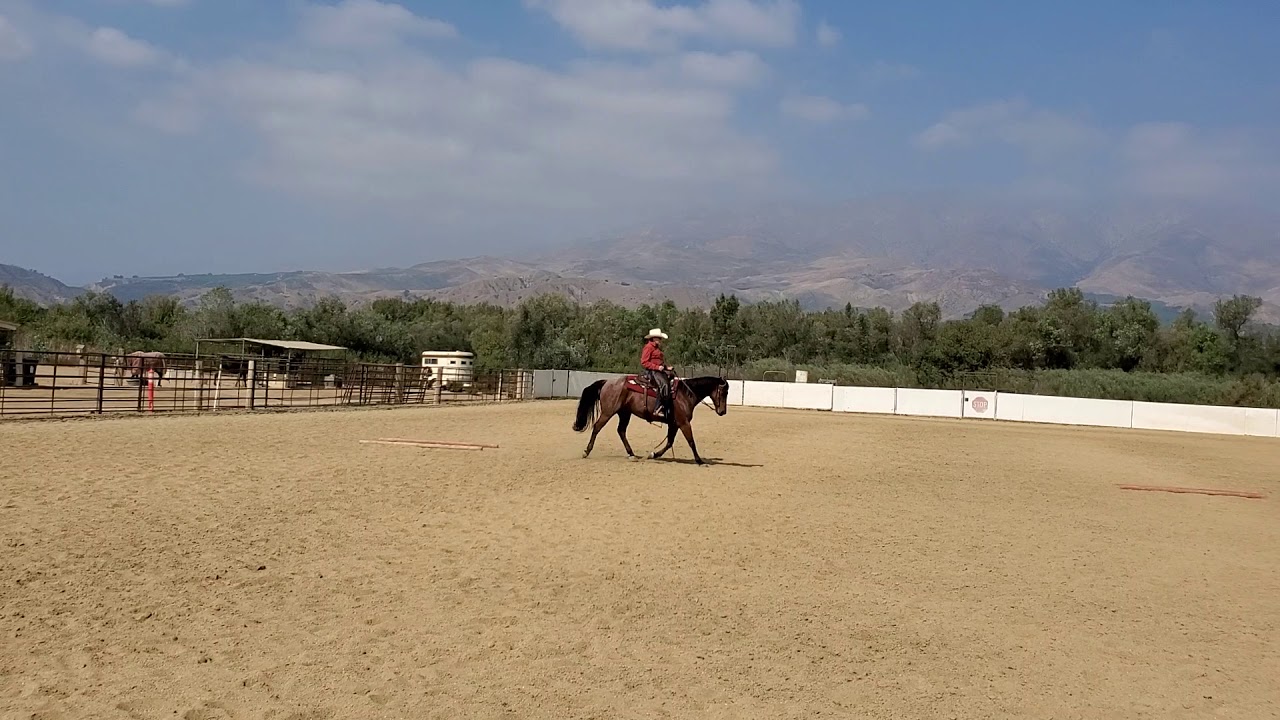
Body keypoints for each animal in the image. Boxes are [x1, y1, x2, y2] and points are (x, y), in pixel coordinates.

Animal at [573, 374, 730, 465]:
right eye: (724, 392)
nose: (722, 412)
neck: (685, 394)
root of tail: (607, 382)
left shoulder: (674, 424)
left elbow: (669, 443)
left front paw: (654, 454)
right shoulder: (684, 423)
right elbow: (691, 441)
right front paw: (699, 460)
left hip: (625, 413)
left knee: (621, 431)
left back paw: (631, 454)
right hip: (608, 412)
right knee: (597, 427)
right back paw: (586, 451)